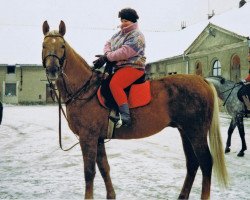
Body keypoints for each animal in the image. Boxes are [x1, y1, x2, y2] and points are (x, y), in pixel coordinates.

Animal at [42, 21, 228, 199]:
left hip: (196, 132)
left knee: (205, 163)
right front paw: (111, 195)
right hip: (185, 131)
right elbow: (104, 168)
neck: (86, 90)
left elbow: (89, 172)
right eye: (44, 45)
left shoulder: (88, 137)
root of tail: (202, 80)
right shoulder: (98, 139)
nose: (52, 70)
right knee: (192, 163)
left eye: (62, 46)